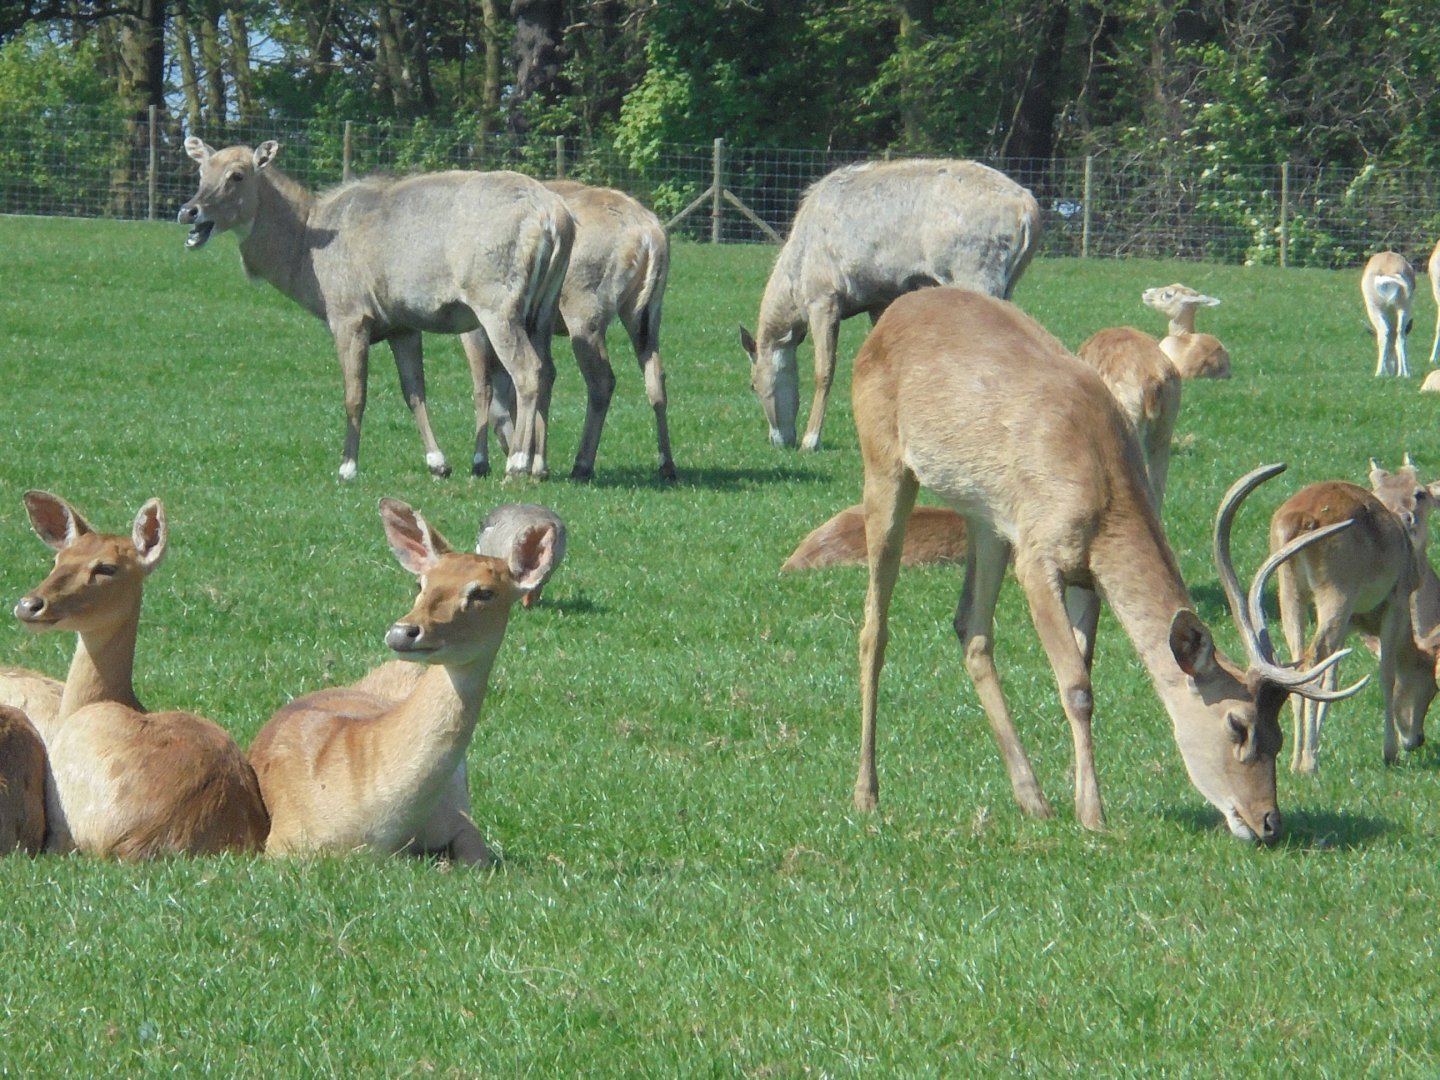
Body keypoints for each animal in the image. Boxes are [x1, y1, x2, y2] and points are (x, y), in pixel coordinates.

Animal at [178, 137, 573, 481]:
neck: (304, 246)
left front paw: (347, 467)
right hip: (542, 309)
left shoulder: (350, 318)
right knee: (549, 371)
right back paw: (539, 466)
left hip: (497, 307)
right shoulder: (402, 326)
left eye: (237, 175)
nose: (188, 211)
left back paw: (516, 464)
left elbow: (354, 395)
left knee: (526, 370)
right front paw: (437, 463)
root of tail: (554, 218)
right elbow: (414, 392)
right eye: (201, 171)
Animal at [740, 158, 1039, 451]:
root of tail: (1027, 209)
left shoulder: (824, 300)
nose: (779, 441)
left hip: (977, 278)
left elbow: (823, 371)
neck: (798, 259)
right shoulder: (879, 300)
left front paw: (810, 440)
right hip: (1006, 287)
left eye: (753, 384)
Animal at [850, 286, 1362, 842]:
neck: (1099, 480)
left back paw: (1032, 798)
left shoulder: (1086, 573)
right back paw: (866, 795)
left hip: (986, 518)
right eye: (1237, 724)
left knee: (972, 628)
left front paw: (1075, 800)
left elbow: (1084, 661)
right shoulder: (1038, 556)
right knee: (874, 627)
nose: (1267, 821)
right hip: (885, 465)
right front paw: (1094, 815)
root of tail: (888, 318)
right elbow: (1076, 684)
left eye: (1278, 731)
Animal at [1270, 469, 1440, 773]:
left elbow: (1331, 678)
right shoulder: (1397, 601)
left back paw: (1294, 761)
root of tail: (1297, 519)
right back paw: (1309, 763)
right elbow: (1386, 674)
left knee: (1298, 660)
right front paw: (1390, 752)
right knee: (1312, 658)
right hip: (1336, 590)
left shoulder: (1350, 623)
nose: (1417, 740)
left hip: (1287, 587)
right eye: (1432, 688)